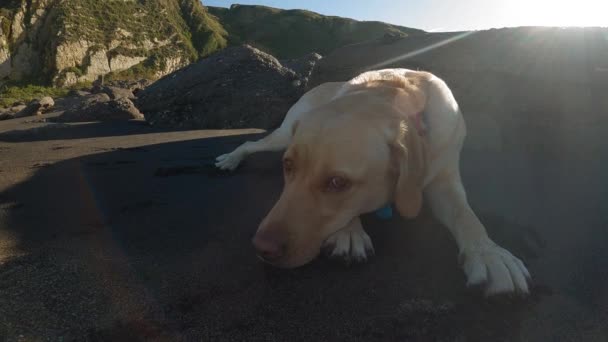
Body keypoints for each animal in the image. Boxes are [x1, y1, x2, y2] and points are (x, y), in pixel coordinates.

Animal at [216, 69, 528, 294]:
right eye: (288, 166)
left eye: (337, 182)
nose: (261, 248)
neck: (392, 92)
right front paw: (350, 232)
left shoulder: (443, 177)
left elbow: (467, 216)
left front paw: (489, 254)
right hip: (283, 134)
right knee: (251, 143)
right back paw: (230, 158)